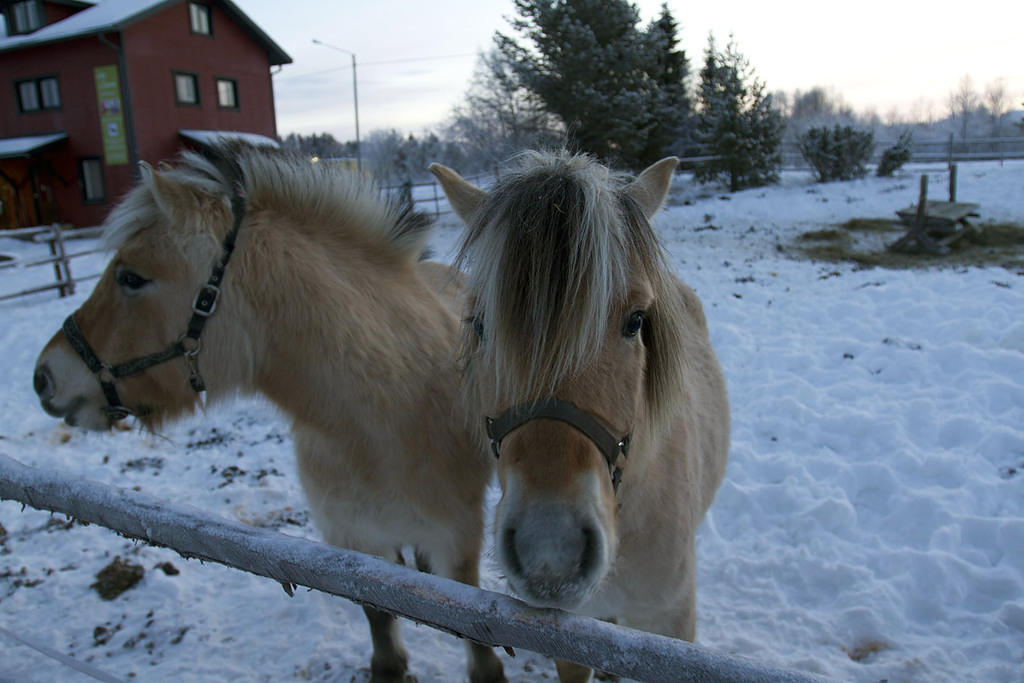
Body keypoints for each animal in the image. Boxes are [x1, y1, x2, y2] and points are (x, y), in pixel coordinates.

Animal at [34, 141, 505, 679]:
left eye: (132, 277)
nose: (44, 376)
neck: (389, 414)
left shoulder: (459, 540)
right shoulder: (353, 542)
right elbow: (382, 628)